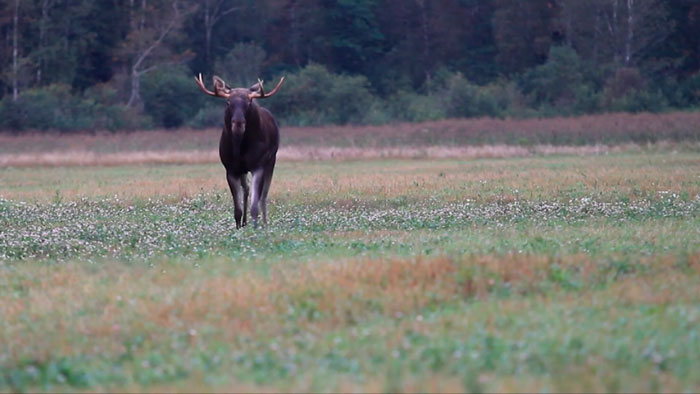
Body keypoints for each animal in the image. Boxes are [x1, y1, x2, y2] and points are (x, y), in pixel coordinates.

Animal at [194, 73, 284, 228]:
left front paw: (255, 227)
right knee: (246, 188)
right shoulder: (231, 169)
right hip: (243, 169)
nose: (238, 124)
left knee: (263, 195)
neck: (241, 148)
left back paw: (264, 223)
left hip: (271, 160)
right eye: (228, 102)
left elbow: (255, 206)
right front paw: (238, 226)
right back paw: (244, 222)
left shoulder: (258, 166)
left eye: (249, 102)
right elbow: (237, 209)